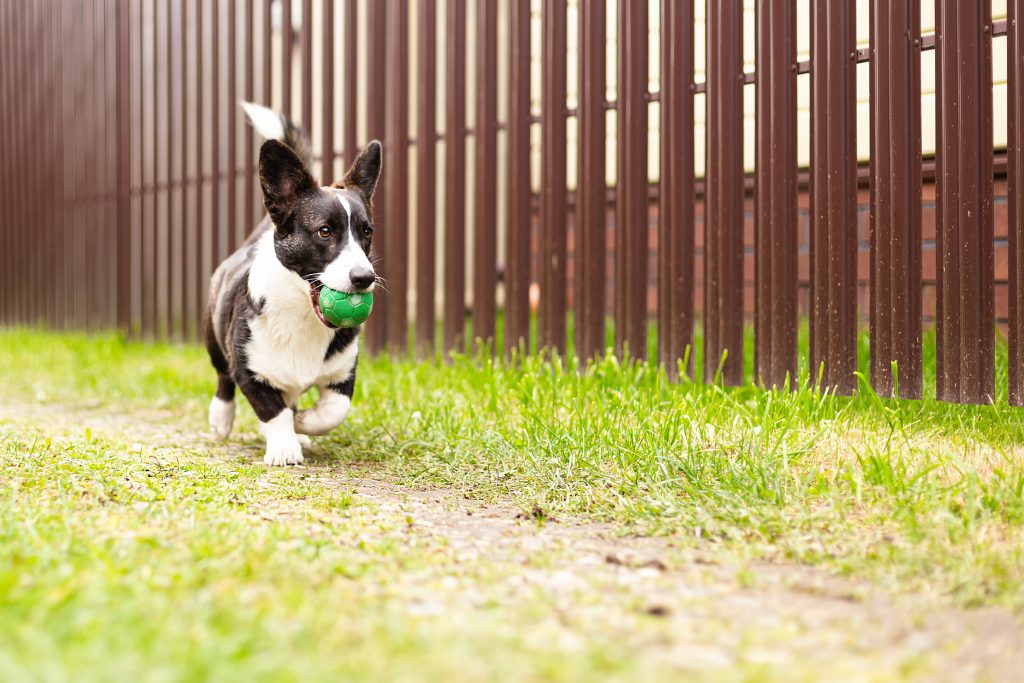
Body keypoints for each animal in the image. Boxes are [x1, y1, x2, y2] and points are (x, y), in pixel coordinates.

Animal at [205, 100, 382, 464]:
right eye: (324, 231)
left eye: (366, 232)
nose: (364, 278)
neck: (302, 313)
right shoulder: (247, 369)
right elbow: (272, 410)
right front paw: (285, 447)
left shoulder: (344, 373)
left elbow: (334, 410)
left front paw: (304, 424)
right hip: (213, 336)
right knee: (222, 377)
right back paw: (221, 417)